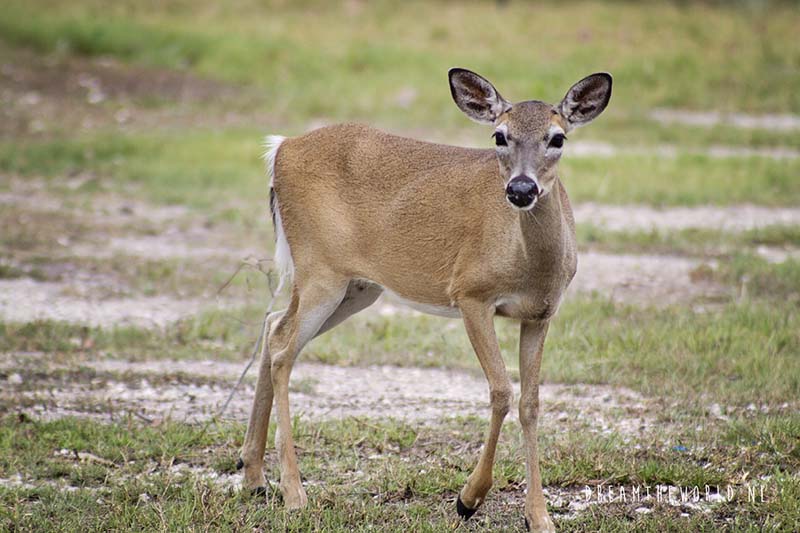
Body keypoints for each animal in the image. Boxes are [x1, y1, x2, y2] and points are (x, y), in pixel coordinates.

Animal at [237, 68, 612, 532]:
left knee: (274, 325)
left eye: (557, 137)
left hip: (357, 286)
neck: (530, 265)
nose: (521, 189)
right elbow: (501, 391)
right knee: (284, 350)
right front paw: (469, 498)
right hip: (319, 269)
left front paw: (539, 517)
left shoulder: (541, 314)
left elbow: (531, 402)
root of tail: (280, 149)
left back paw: (254, 476)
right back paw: (293, 493)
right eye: (499, 135)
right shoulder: (470, 293)